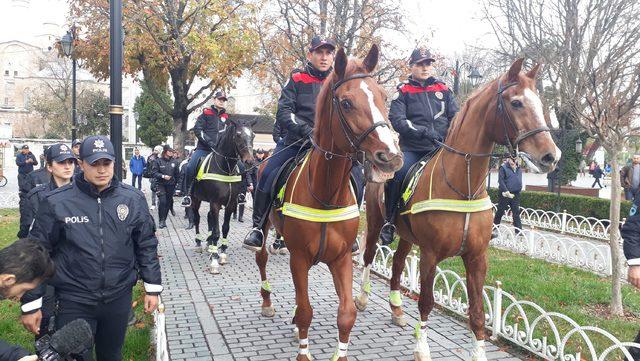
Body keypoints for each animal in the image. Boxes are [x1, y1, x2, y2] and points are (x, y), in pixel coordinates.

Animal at [254, 45, 400, 360]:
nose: (391, 156)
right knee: (262, 259)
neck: (326, 195)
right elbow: (306, 310)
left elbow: (346, 313)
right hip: (266, 229)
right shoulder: (299, 257)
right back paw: (267, 302)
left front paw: (339, 352)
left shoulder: (341, 258)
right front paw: (303, 351)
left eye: (383, 97)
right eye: (346, 103)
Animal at [358, 57, 556, 358]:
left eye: (540, 102)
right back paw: (362, 297)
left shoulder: (477, 258)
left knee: (398, 264)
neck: (462, 188)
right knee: (369, 256)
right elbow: (426, 302)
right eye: (516, 102)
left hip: (406, 236)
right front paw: (422, 348)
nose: (550, 156)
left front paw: (479, 353)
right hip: (375, 223)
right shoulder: (429, 255)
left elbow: (478, 313)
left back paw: (396, 309)